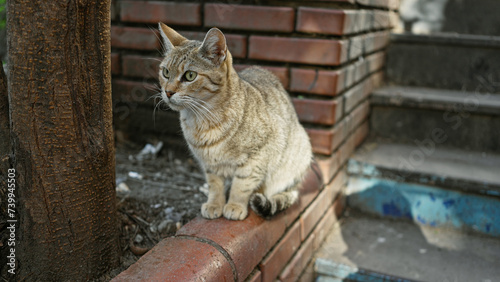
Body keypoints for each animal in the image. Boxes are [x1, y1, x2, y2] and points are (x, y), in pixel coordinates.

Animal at [158, 23, 310, 220]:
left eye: (190, 75)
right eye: (165, 72)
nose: (168, 92)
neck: (203, 119)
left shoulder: (258, 155)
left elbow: (242, 184)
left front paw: (235, 205)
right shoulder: (210, 164)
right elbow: (215, 185)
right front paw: (215, 204)